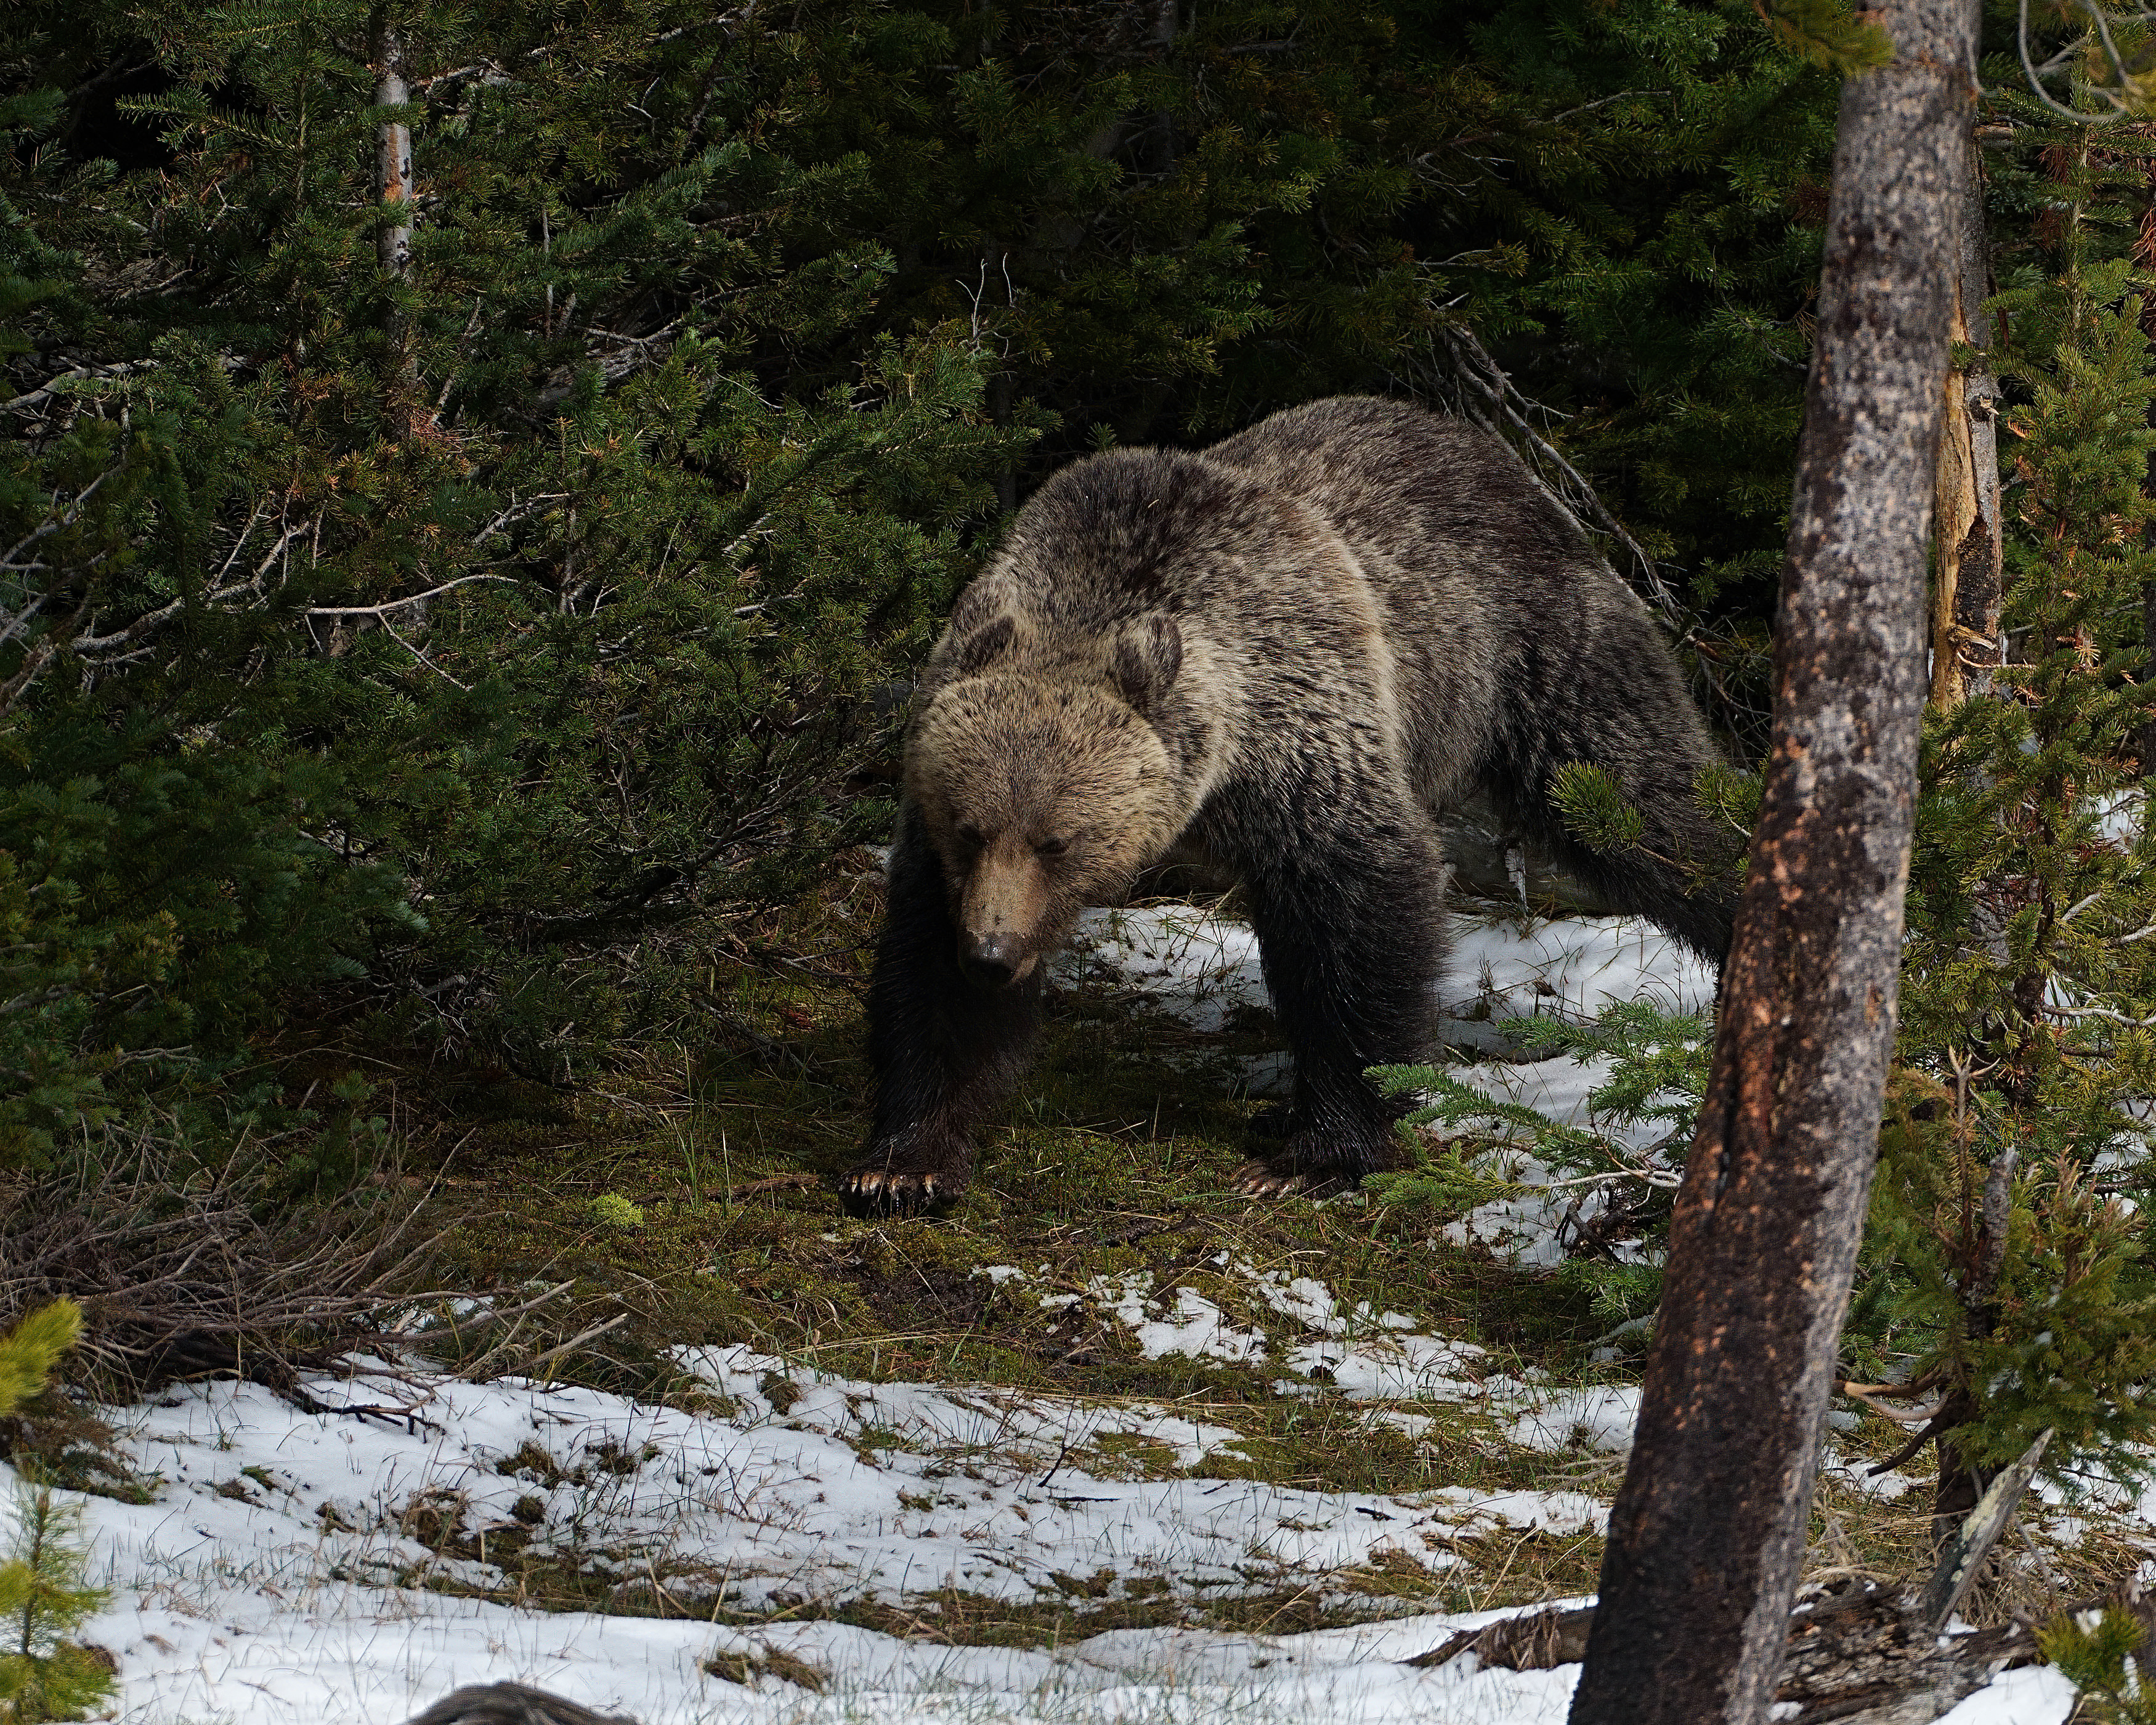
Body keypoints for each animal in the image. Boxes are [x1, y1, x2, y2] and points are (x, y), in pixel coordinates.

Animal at [841, 397, 1733, 1216]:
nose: (992, 953)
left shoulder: (1300, 729)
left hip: (1538, 655)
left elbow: (1355, 919)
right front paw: (905, 1162)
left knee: (1650, 804)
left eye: (1060, 839)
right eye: (970, 829)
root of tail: (1493, 451)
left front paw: (1321, 1152)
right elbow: (926, 968)